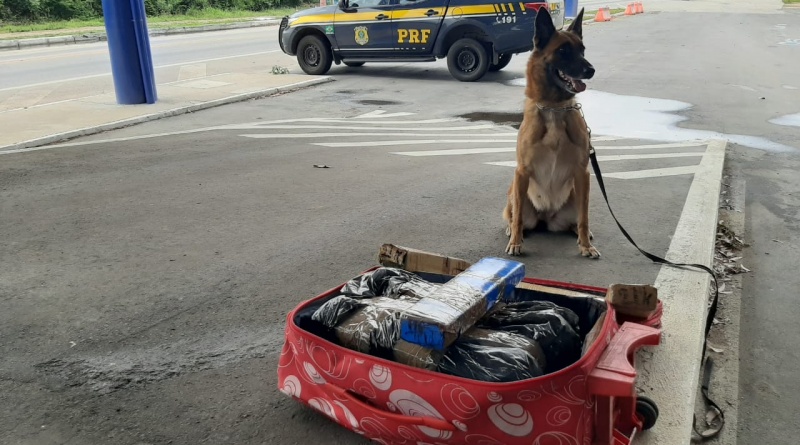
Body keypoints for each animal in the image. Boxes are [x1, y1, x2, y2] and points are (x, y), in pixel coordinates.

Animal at [500, 6, 600, 256]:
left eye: (582, 50)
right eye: (563, 50)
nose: (591, 70)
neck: (554, 108)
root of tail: (546, 217)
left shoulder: (582, 173)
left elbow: (585, 217)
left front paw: (586, 246)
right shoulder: (522, 172)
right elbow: (517, 219)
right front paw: (515, 242)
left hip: (575, 196)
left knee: (578, 218)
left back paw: (582, 234)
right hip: (515, 192)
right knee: (515, 216)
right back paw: (512, 231)